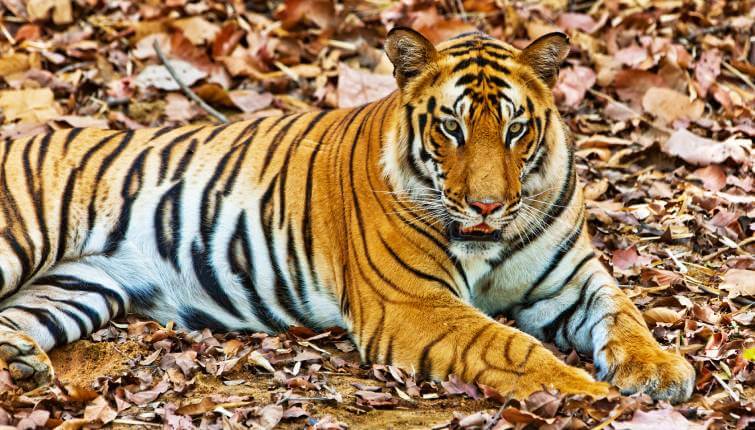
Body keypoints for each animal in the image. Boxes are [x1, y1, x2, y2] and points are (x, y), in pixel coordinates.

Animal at [0, 28, 696, 402]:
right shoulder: (416, 305)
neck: (490, 243)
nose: (487, 204)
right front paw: (590, 395)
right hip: (20, 241)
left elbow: (624, 313)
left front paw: (661, 371)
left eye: (516, 129)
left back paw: (22, 361)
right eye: (451, 127)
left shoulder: (571, 278)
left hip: (77, 289)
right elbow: (511, 347)